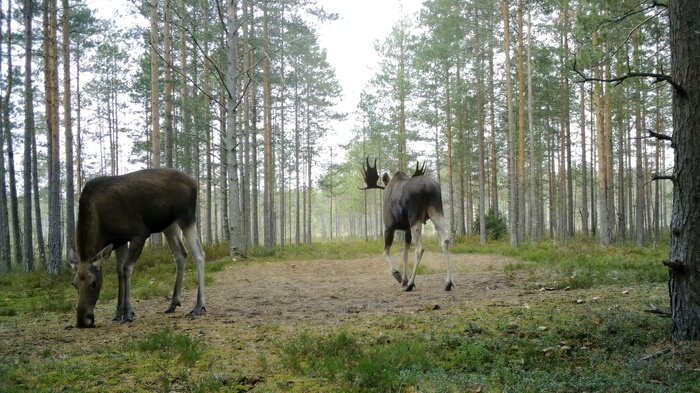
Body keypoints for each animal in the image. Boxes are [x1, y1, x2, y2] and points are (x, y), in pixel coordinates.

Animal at [67, 168, 206, 328]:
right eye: (74, 284)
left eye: (94, 283)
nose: (82, 321)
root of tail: (194, 181)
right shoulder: (119, 241)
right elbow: (119, 271)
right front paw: (118, 313)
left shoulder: (140, 233)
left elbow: (127, 269)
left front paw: (127, 313)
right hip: (169, 225)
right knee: (180, 254)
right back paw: (173, 303)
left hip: (186, 216)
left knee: (199, 254)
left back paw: (199, 306)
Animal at [360, 158, 454, 290]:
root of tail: (427, 188)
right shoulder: (407, 228)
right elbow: (404, 254)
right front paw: (404, 279)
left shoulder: (389, 226)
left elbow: (385, 251)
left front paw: (398, 275)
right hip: (437, 211)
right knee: (445, 240)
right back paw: (448, 283)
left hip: (415, 217)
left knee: (419, 248)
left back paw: (410, 284)